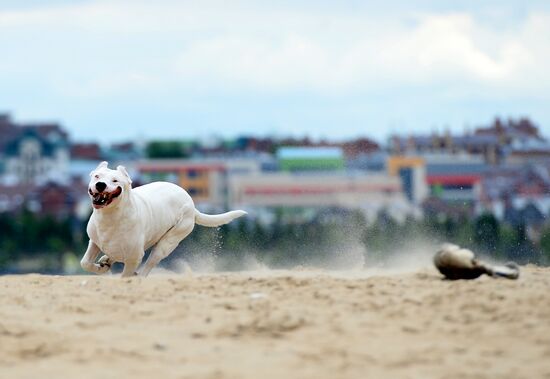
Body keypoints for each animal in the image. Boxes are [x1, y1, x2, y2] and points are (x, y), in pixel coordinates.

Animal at [80, 162, 248, 278]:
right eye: (97, 176)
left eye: (115, 180)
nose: (100, 185)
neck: (110, 216)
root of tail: (192, 205)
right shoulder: (94, 242)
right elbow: (85, 263)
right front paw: (101, 267)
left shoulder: (134, 256)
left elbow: (126, 274)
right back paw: (106, 260)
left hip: (167, 243)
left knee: (149, 264)